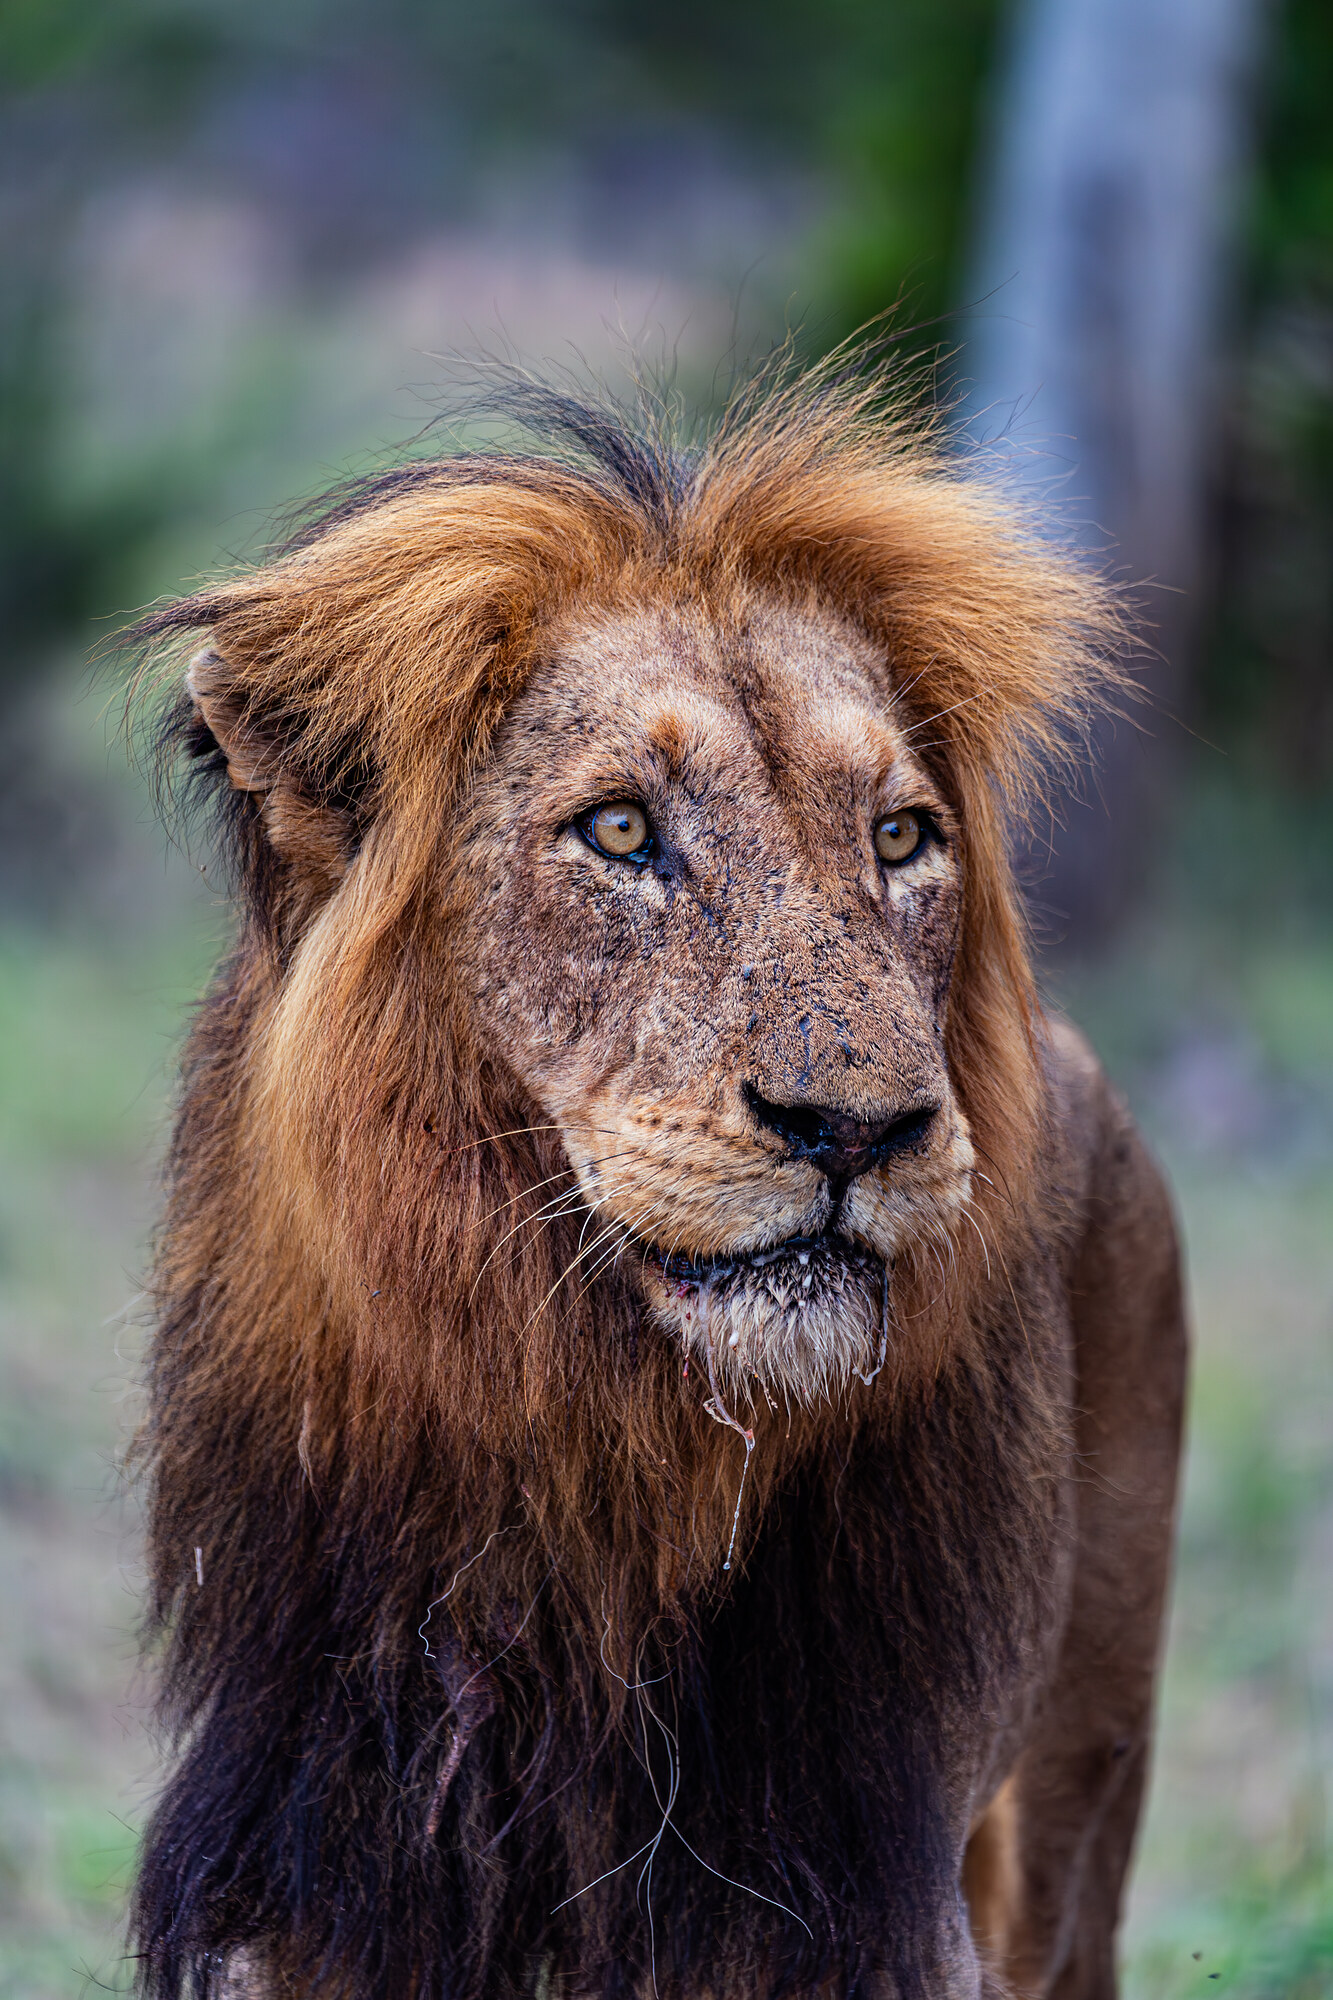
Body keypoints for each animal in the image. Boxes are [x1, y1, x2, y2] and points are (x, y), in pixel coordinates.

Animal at [128, 360, 1186, 2000]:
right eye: (621, 830)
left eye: (900, 837)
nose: (858, 1128)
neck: (583, 1437)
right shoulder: (329, 1854)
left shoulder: (846, 1898)